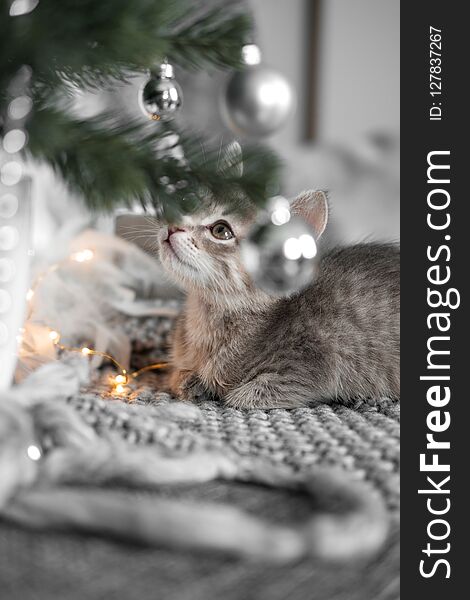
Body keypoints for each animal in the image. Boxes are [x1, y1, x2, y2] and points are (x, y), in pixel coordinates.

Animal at [156, 188, 398, 410]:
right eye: (188, 205)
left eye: (221, 230)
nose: (172, 226)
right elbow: (177, 376)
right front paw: (192, 382)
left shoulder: (313, 362)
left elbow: (240, 397)